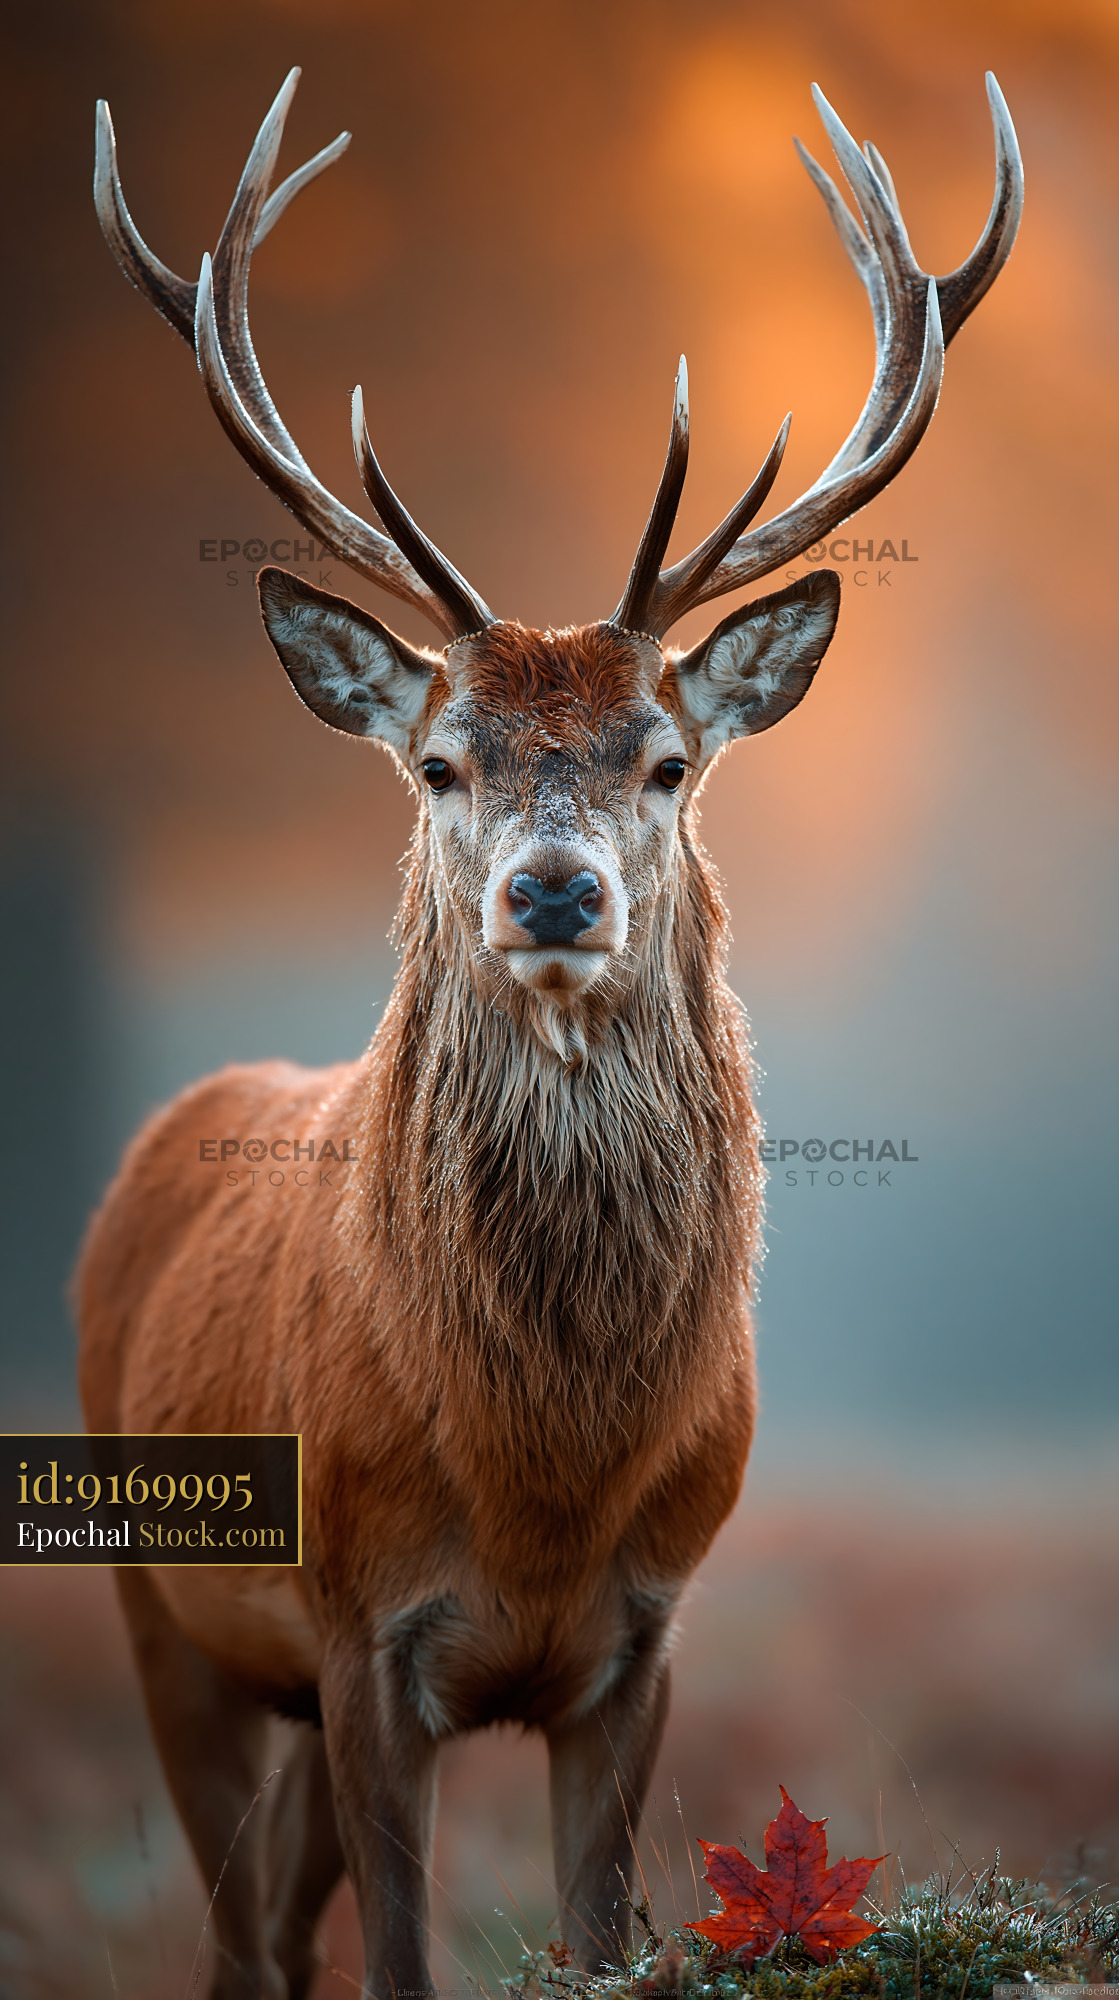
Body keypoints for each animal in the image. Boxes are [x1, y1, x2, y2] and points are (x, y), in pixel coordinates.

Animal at [80, 66, 1021, 2000]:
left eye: (662, 761)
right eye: (443, 763)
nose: (556, 891)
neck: (539, 1480)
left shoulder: (639, 1640)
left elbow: (596, 1934)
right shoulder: (359, 1632)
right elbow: (400, 1960)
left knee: (265, 1924)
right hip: (169, 1618)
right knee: (240, 1942)